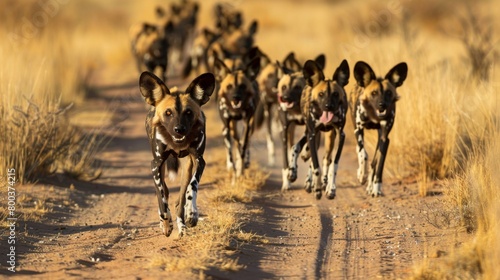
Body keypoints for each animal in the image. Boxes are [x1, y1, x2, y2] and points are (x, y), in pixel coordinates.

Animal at [139, 70, 215, 236]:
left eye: (188, 112)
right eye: (168, 113)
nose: (179, 129)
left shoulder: (198, 160)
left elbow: (192, 187)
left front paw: (192, 213)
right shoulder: (155, 164)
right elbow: (161, 198)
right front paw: (166, 224)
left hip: (187, 167)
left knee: (180, 198)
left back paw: (183, 224)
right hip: (160, 168)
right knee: (166, 193)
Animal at [276, 53, 326, 191]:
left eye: (297, 87)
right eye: (284, 87)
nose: (285, 98)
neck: (297, 108)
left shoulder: (310, 128)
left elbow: (304, 149)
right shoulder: (285, 130)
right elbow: (286, 158)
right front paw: (288, 178)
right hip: (291, 131)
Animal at [288, 59, 350, 199]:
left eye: (336, 94)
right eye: (321, 94)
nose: (328, 106)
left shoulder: (341, 135)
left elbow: (333, 165)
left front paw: (330, 188)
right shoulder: (311, 134)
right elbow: (316, 166)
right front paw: (316, 188)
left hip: (330, 137)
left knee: (326, 159)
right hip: (310, 132)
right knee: (297, 147)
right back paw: (296, 173)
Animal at [350, 61, 408, 197]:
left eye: (389, 93)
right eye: (374, 93)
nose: (382, 105)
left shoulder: (384, 138)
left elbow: (379, 164)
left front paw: (376, 188)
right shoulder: (358, 130)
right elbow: (363, 154)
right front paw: (362, 175)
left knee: (374, 162)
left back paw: (370, 187)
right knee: (361, 152)